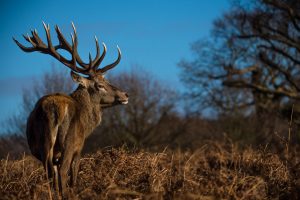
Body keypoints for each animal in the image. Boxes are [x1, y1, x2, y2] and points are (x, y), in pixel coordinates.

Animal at [13, 22, 129, 196]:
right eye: (100, 85)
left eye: (106, 80)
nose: (125, 95)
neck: (87, 125)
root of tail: (54, 110)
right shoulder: (79, 147)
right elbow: (73, 177)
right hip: (68, 142)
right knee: (63, 172)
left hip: (43, 147)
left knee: (49, 175)